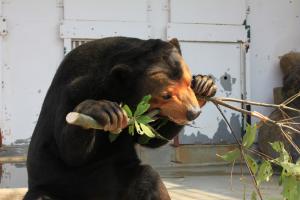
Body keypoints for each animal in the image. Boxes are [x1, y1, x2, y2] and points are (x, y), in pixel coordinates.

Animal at [23, 36, 216, 199]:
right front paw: (102, 110)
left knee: (147, 179)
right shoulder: (75, 88)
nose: (193, 112)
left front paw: (204, 84)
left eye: (188, 82)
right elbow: (69, 151)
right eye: (166, 95)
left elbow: (150, 137)